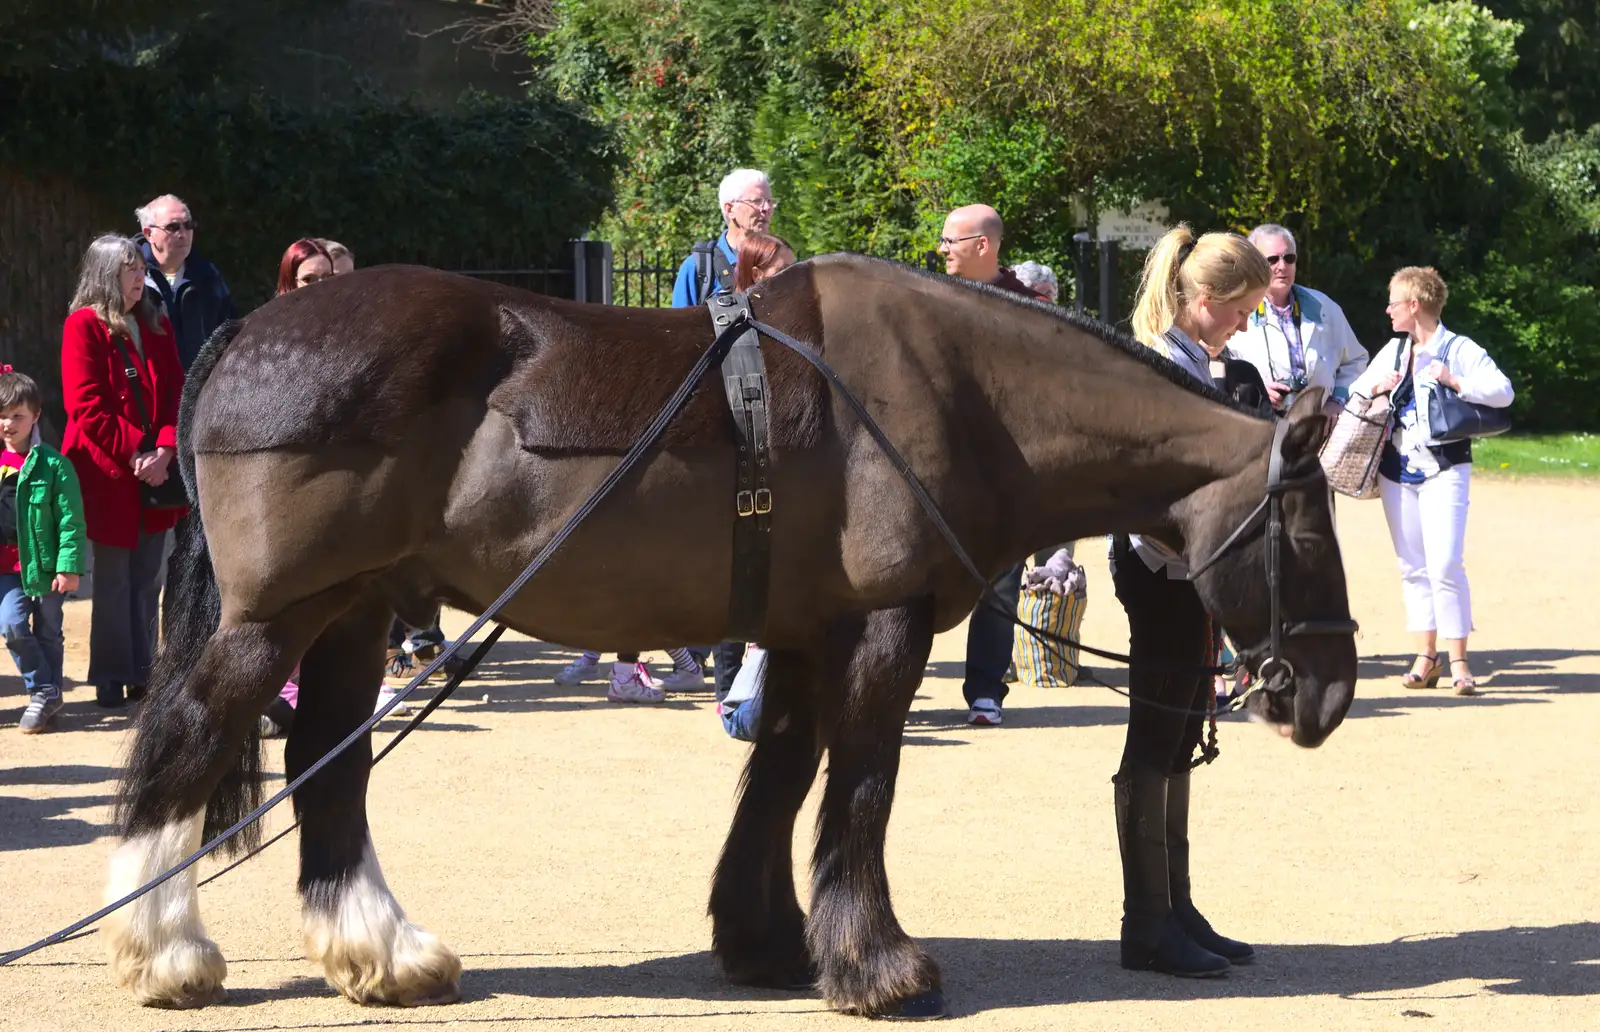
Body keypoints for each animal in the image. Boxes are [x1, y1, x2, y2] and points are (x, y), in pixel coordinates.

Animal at [106, 256, 1356, 1011]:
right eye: (1304, 527)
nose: (1327, 690)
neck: (958, 391)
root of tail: (248, 333)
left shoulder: (801, 636)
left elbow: (779, 784)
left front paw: (767, 944)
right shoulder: (881, 632)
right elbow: (860, 789)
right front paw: (877, 964)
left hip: (355, 614)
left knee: (330, 776)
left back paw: (383, 951)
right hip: (279, 617)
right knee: (184, 742)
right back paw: (167, 949)